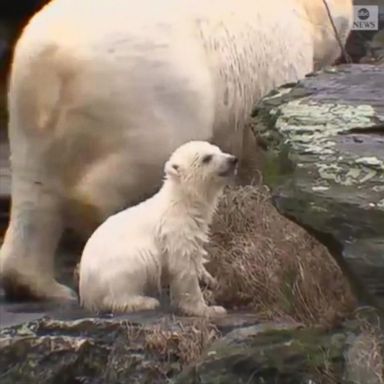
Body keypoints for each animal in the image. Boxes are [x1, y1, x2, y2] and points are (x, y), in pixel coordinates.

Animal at [0, 0, 354, 302]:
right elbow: (257, 137)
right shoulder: (273, 57)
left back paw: (38, 285)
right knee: (135, 162)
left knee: (36, 192)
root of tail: (52, 61)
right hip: (150, 92)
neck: (298, 9)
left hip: (28, 113)